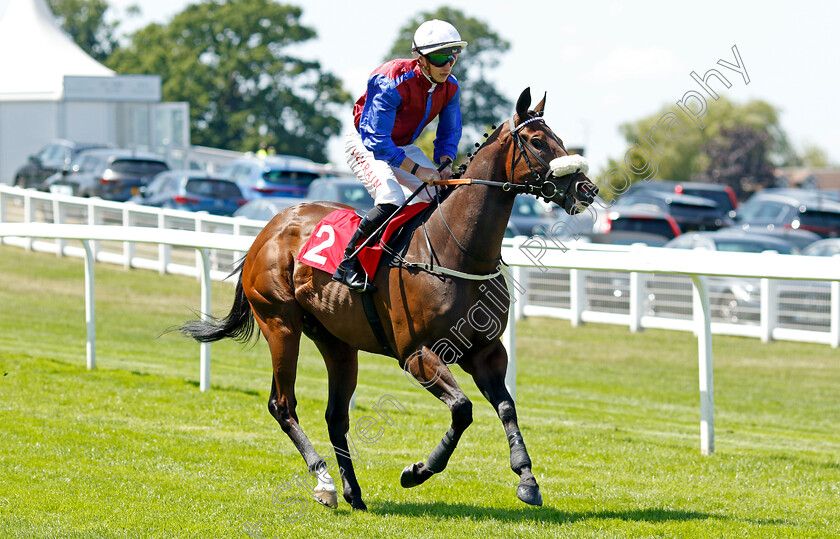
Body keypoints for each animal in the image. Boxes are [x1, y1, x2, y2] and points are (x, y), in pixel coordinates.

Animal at [180, 87, 596, 510]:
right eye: (537, 141)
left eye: (560, 138)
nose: (587, 189)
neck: (456, 250)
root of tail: (268, 229)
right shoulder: (416, 354)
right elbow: (462, 409)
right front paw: (418, 471)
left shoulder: (486, 351)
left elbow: (507, 407)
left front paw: (527, 478)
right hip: (280, 324)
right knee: (283, 404)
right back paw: (325, 482)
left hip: (336, 341)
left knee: (336, 416)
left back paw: (354, 492)